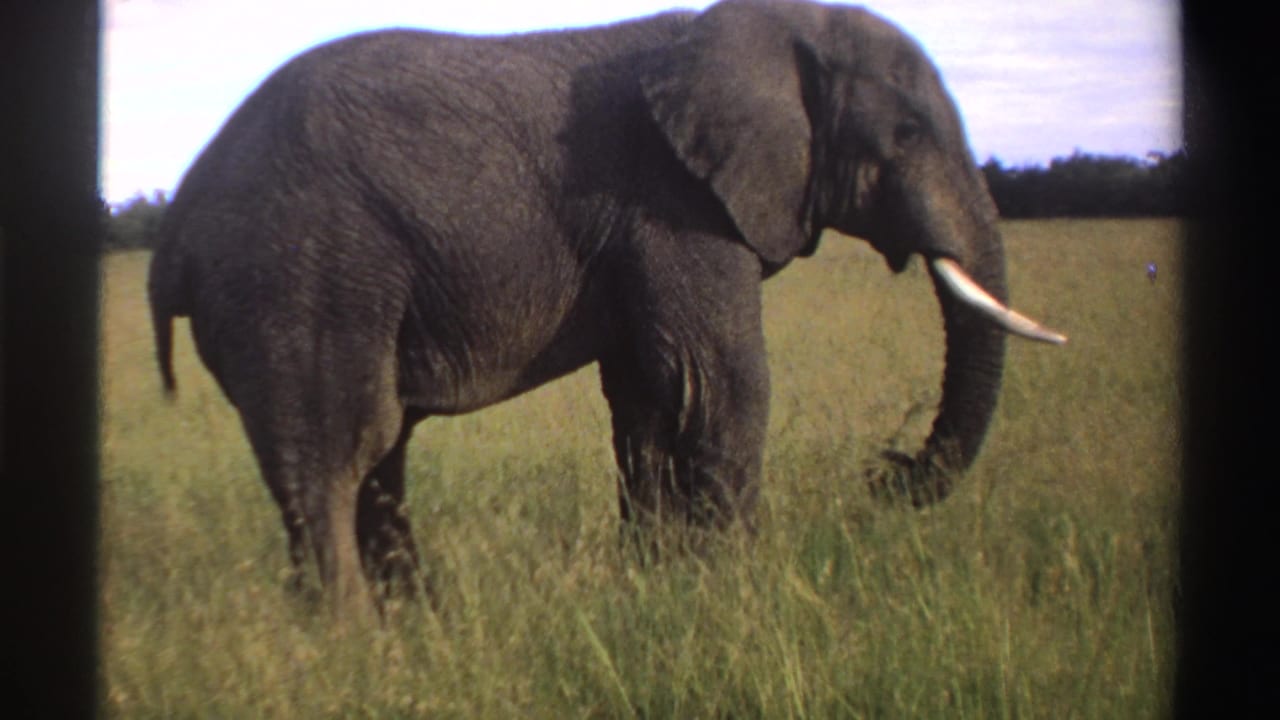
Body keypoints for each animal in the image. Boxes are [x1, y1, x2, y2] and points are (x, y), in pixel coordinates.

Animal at [148, 0, 1065, 615]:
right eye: (906, 133)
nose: (885, 469)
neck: (766, 26)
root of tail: (176, 222)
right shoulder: (672, 202)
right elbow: (720, 383)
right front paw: (739, 597)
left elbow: (649, 400)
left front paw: (657, 586)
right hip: (299, 276)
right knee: (339, 452)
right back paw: (356, 646)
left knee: (376, 460)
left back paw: (415, 626)